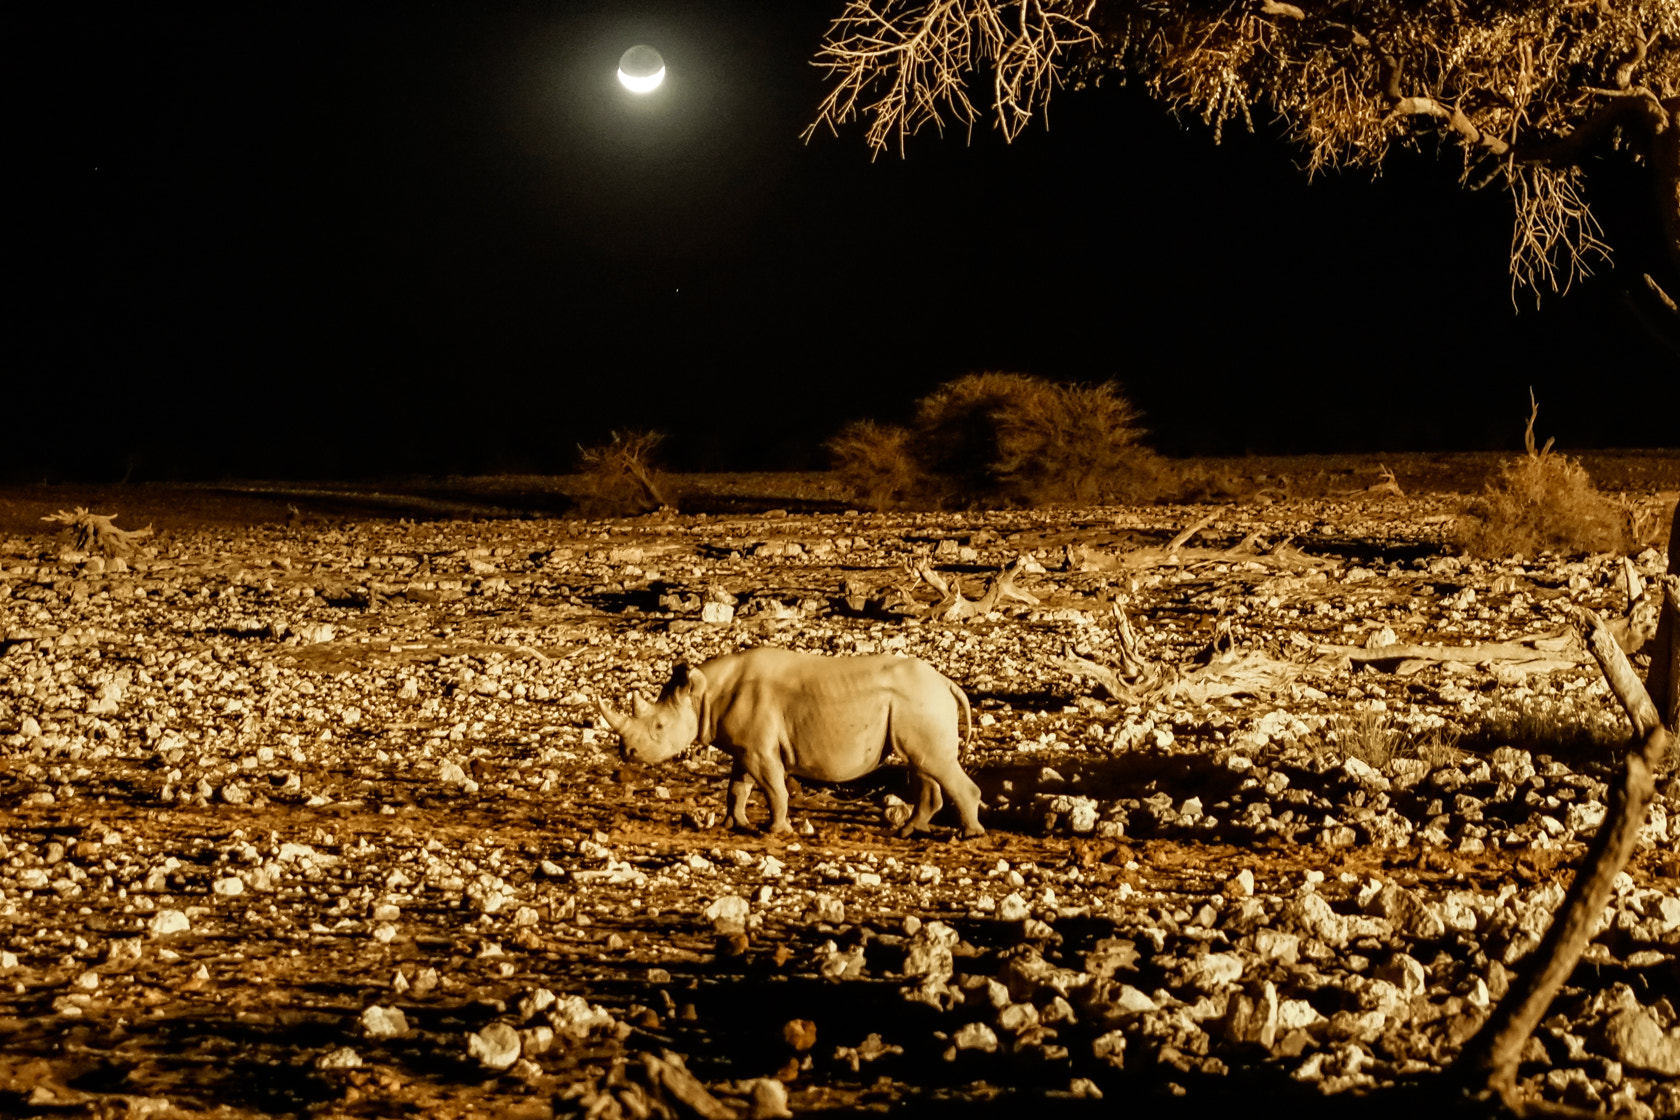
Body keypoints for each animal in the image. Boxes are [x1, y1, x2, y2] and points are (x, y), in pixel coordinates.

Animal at [598, 644, 981, 836]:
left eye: (659, 727)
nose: (627, 751)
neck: (702, 696)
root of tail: (947, 682)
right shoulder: (745, 748)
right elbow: (737, 787)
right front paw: (734, 825)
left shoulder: (760, 750)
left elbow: (773, 788)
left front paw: (777, 831)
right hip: (916, 706)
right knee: (924, 763)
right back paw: (908, 831)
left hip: (919, 702)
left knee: (933, 763)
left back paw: (970, 835)